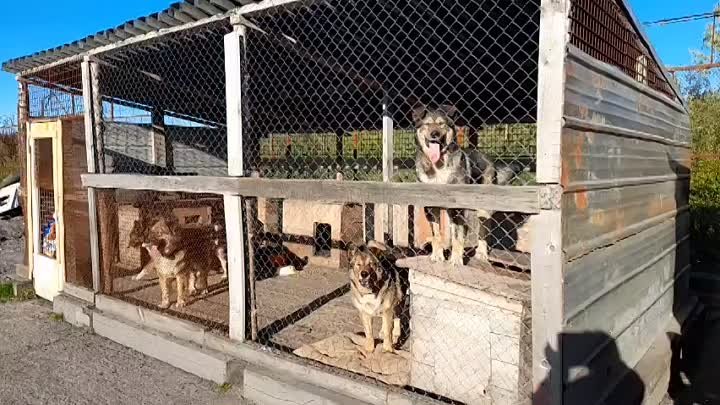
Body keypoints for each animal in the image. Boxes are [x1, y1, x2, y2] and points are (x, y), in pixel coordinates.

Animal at [414, 102, 524, 266]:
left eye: (441, 124)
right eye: (427, 124)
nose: (434, 134)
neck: (438, 166)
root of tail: (488, 158)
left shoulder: (458, 208)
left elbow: (458, 236)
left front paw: (456, 260)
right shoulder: (431, 208)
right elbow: (436, 234)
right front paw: (437, 255)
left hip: (482, 208)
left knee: (484, 229)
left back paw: (481, 253)